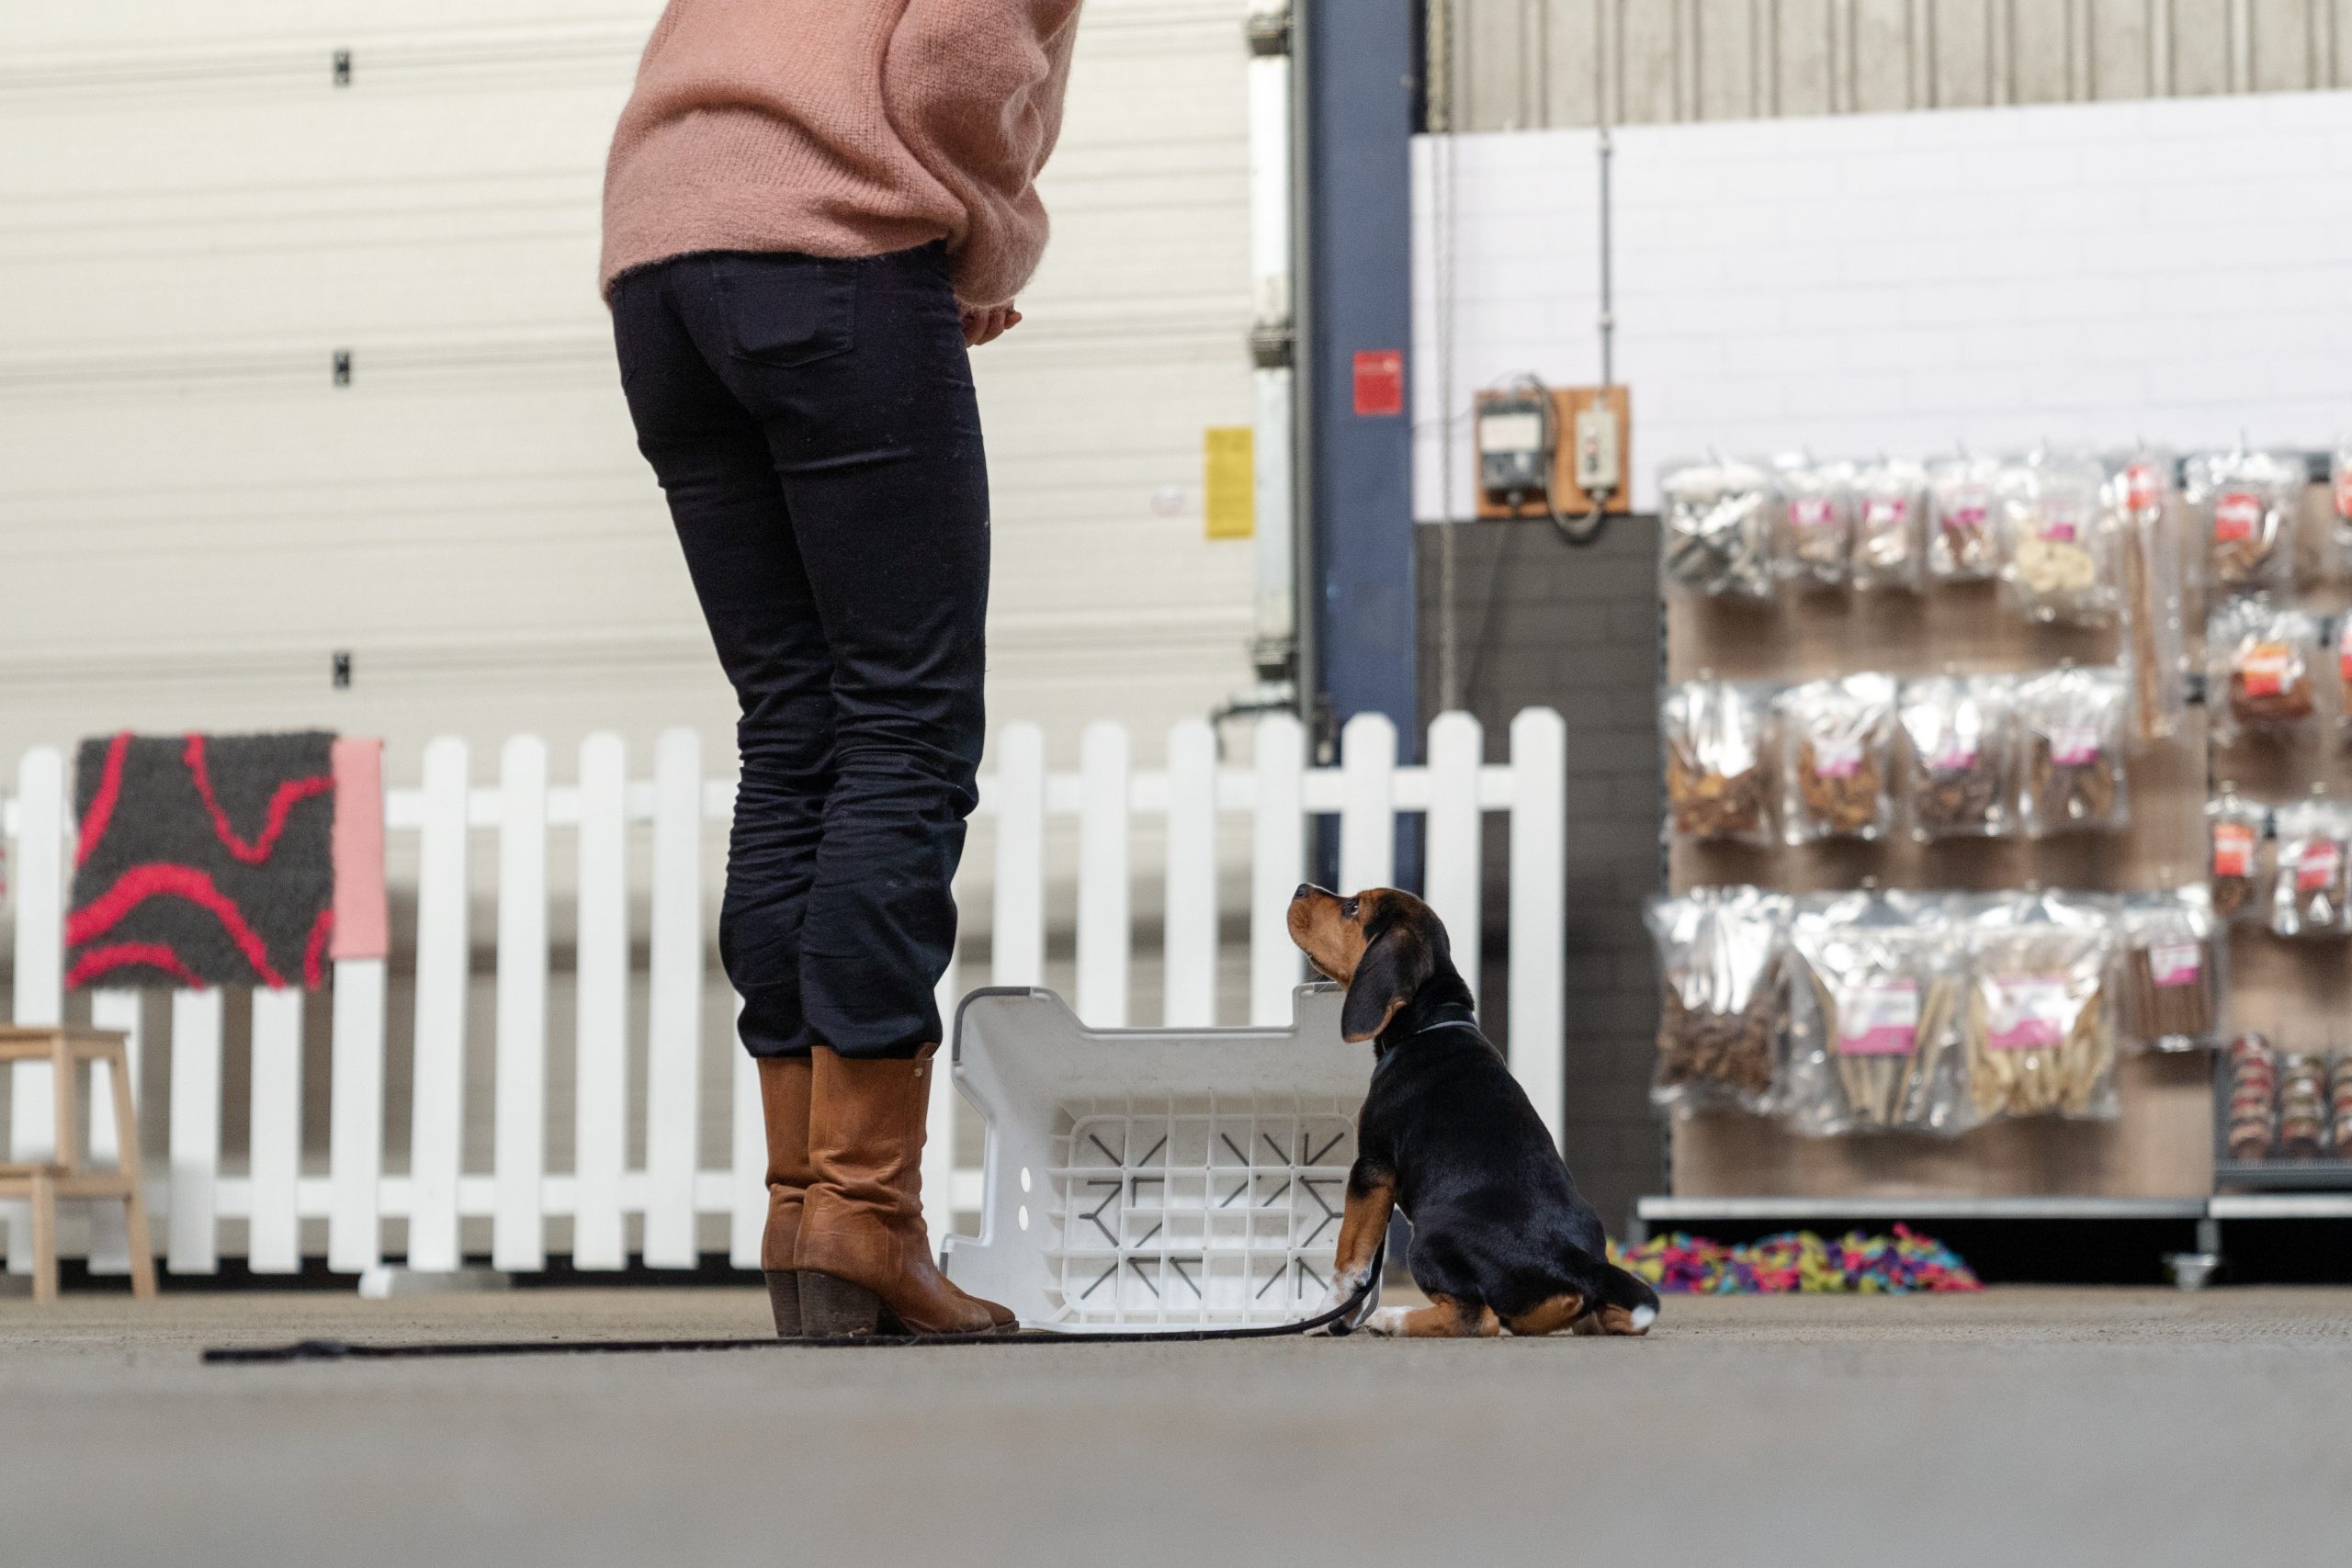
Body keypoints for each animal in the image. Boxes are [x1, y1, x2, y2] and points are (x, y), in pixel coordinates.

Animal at [1298, 884, 1665, 1335]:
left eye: (1352, 908)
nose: (1301, 889)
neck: (1429, 1024)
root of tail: (1578, 1263)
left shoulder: (1371, 1168)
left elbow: (1350, 1257)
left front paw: (1325, 1317)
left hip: (1429, 1237)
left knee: (1475, 1317)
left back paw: (1392, 1319)